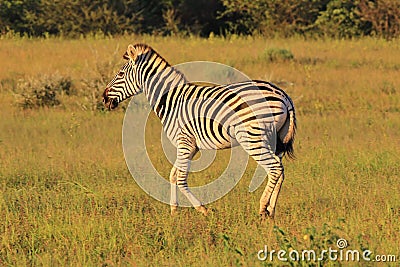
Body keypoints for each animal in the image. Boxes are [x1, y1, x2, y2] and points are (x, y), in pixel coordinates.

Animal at [102, 44, 296, 220]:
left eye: (120, 74)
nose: (104, 98)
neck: (172, 101)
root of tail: (284, 96)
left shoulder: (185, 142)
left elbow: (180, 178)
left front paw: (203, 210)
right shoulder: (191, 146)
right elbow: (173, 175)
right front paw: (174, 212)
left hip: (252, 138)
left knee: (274, 168)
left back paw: (263, 209)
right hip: (273, 139)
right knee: (280, 169)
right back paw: (271, 210)